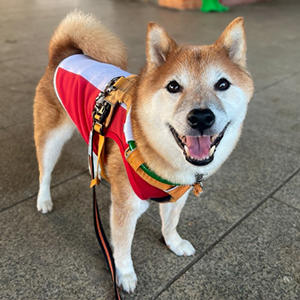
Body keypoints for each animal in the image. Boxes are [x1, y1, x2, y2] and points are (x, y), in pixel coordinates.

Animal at [33, 11, 253, 292]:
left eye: (223, 84)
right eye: (173, 87)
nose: (202, 117)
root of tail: (65, 54)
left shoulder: (177, 194)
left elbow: (170, 223)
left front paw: (174, 243)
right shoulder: (126, 207)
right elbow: (122, 246)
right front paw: (124, 274)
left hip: (90, 128)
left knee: (91, 147)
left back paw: (97, 170)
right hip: (52, 136)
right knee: (45, 171)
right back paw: (44, 200)